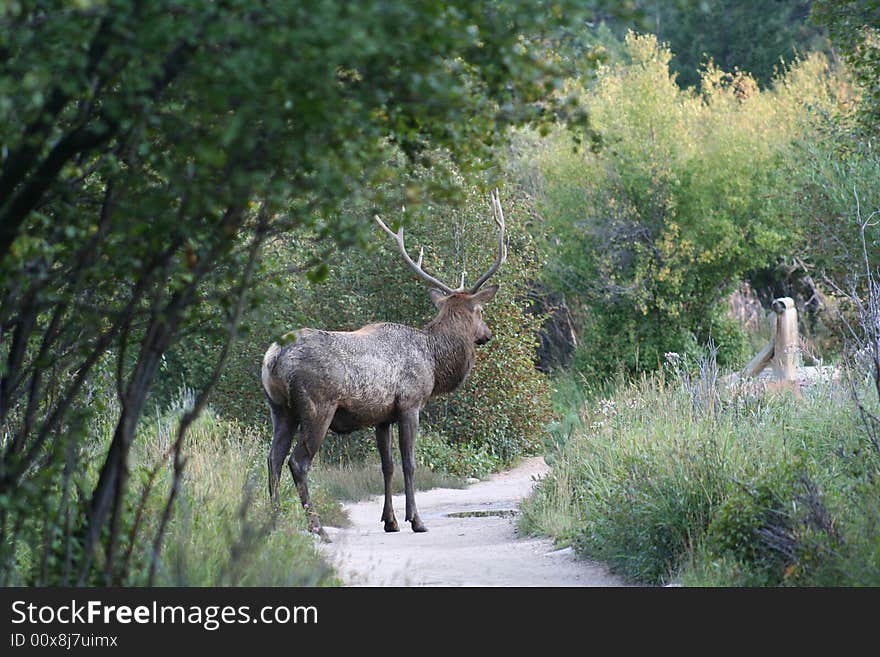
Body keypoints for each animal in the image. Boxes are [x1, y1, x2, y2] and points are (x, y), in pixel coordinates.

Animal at [262, 190, 508, 540]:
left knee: (272, 458)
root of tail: (273, 358)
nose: (487, 334)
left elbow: (386, 465)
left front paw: (390, 520)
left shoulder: (382, 417)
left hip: (280, 408)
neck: (433, 360)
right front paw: (416, 520)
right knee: (298, 461)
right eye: (480, 312)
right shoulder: (410, 403)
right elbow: (409, 462)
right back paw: (317, 527)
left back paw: (273, 521)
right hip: (316, 406)